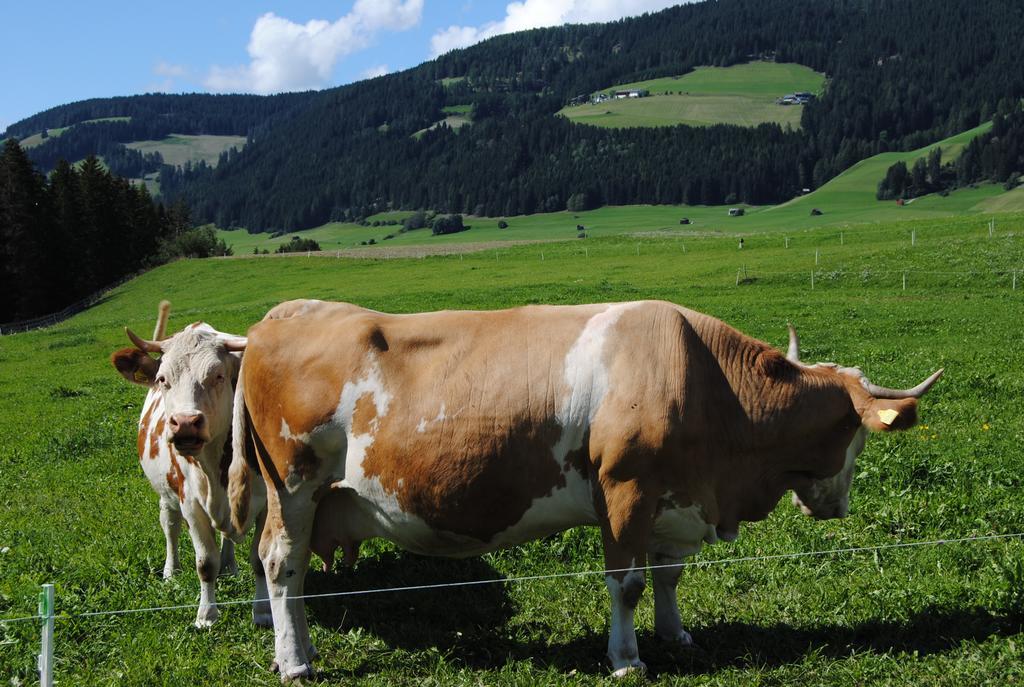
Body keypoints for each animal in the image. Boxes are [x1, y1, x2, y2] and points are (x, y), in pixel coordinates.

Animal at [110, 303, 270, 630]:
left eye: (219, 375)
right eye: (163, 379)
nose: (185, 423)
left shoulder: (268, 503)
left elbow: (259, 560)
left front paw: (262, 612)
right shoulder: (191, 503)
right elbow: (205, 563)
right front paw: (206, 615)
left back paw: (229, 565)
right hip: (166, 494)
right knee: (169, 526)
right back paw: (170, 571)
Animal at [228, 298, 937, 679]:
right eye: (854, 433)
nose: (838, 505)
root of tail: (279, 317)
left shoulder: (675, 500)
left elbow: (668, 575)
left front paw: (675, 635)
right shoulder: (626, 489)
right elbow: (627, 582)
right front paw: (627, 659)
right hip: (293, 483)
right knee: (281, 564)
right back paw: (297, 661)